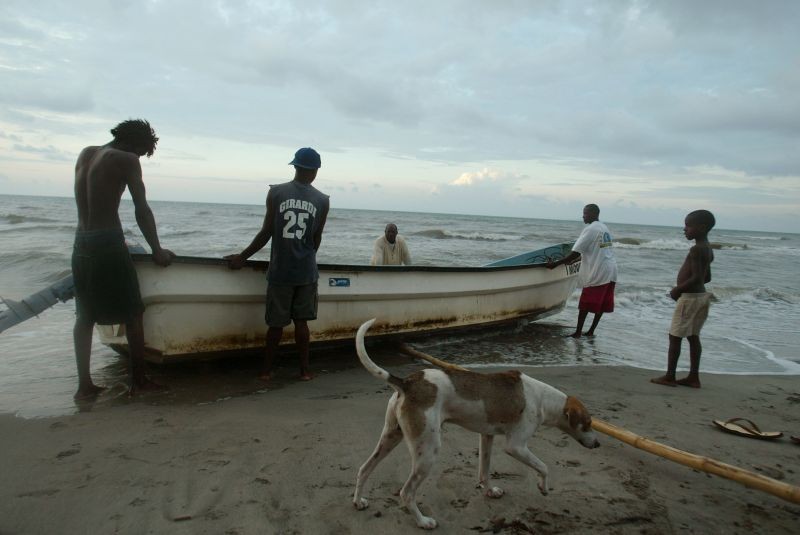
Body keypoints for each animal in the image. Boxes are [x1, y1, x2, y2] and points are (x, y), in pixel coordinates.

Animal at [352, 318, 600, 532]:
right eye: (587, 423)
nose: (598, 444)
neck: (542, 399)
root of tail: (406, 382)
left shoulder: (486, 436)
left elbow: (485, 471)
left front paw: (489, 491)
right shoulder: (516, 446)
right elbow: (544, 467)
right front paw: (543, 487)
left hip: (391, 436)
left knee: (364, 469)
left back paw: (358, 501)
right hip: (428, 451)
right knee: (406, 492)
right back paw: (423, 521)